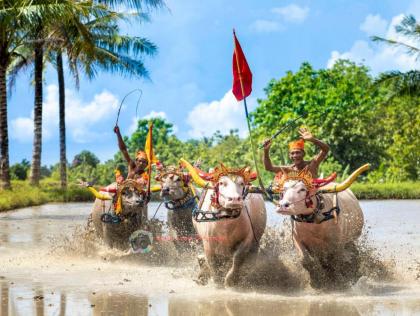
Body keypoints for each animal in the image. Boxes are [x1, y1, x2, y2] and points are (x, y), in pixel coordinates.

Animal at [180, 159, 266, 288]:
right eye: (221, 183)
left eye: (241, 183)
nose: (234, 199)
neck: (226, 222)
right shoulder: (208, 243)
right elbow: (212, 262)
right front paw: (217, 281)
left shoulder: (247, 239)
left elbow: (238, 258)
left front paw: (230, 280)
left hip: (256, 241)